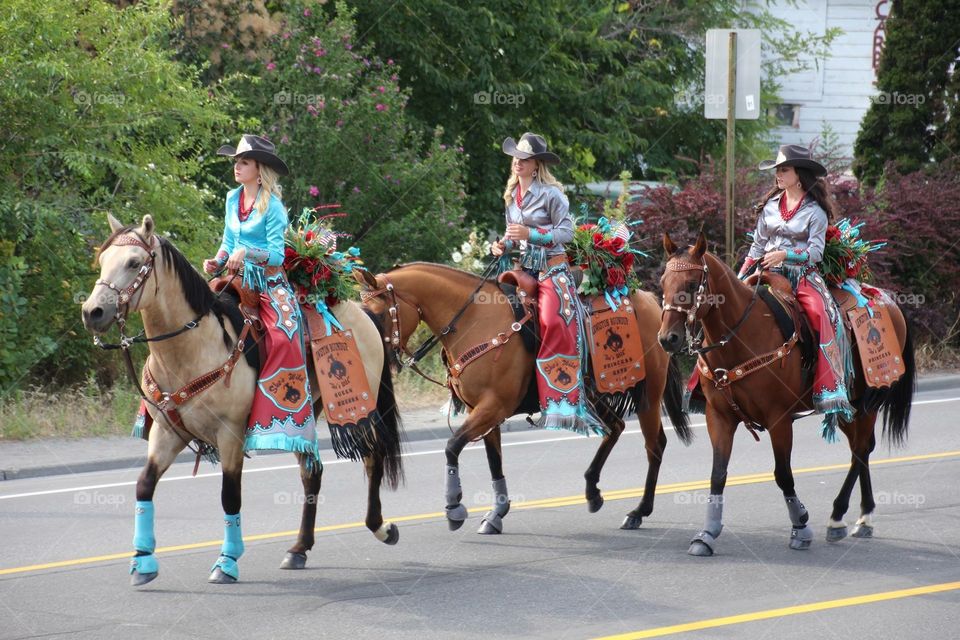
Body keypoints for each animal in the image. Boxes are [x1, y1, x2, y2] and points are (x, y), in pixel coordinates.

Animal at [78, 215, 402, 584]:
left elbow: (230, 496)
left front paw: (227, 561)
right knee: (312, 472)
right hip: (308, 411)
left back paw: (381, 528)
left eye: (134, 263)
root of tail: (362, 312)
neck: (191, 349)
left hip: (363, 405)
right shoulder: (168, 432)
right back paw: (298, 549)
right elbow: (144, 485)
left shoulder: (230, 433)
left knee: (373, 456)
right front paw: (142, 560)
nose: (93, 311)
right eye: (103, 260)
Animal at [352, 262, 688, 536]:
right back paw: (593, 490)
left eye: (378, 314)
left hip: (648, 393)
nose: (378, 360)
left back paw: (639, 511)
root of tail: (650, 301)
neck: (475, 320)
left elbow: (452, 446)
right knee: (616, 428)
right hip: (594, 395)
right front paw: (496, 514)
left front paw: (454, 508)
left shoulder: (493, 407)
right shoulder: (482, 410)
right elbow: (493, 462)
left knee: (654, 445)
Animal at [660, 232, 916, 556]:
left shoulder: (779, 419)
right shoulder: (718, 417)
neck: (742, 337)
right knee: (862, 448)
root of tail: (887, 299)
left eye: (693, 284)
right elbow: (718, 475)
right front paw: (706, 534)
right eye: (663, 282)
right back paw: (863, 516)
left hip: (868, 401)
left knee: (860, 450)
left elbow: (783, 474)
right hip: (849, 407)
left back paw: (838, 516)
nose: (667, 338)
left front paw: (801, 527)